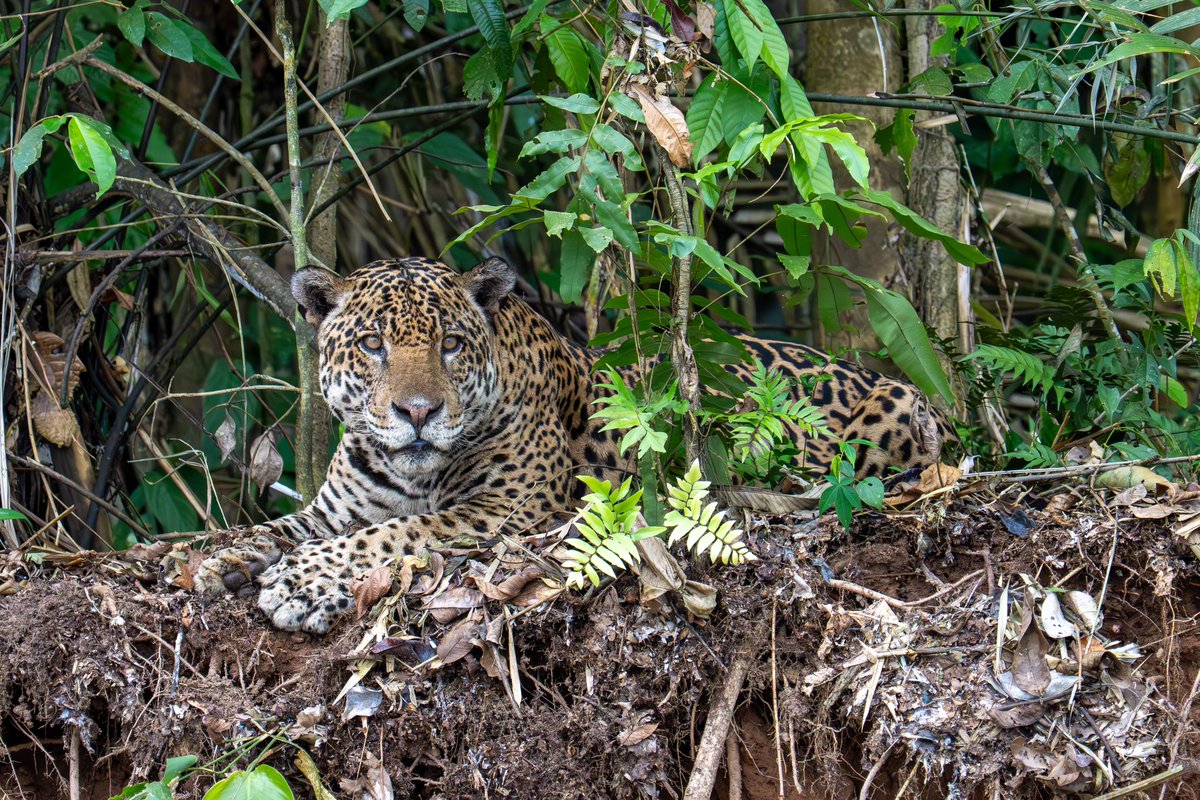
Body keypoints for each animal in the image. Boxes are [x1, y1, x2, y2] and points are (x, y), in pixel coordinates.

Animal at [193, 256, 953, 633]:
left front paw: (298, 584)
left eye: (450, 344)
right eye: (373, 345)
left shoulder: (504, 514)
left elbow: (393, 536)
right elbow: (283, 528)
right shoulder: (335, 509)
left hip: (892, 414)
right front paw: (214, 561)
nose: (417, 412)